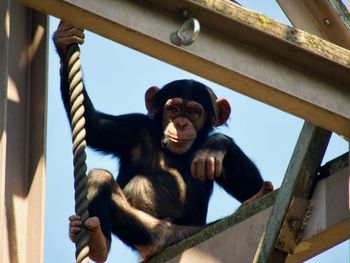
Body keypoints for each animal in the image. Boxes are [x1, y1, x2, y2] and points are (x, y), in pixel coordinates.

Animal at [54, 21, 274, 262]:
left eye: (194, 112)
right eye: (174, 109)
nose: (181, 123)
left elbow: (253, 185)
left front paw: (215, 144)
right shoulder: (134, 127)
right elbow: (94, 127)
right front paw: (64, 41)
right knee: (101, 178)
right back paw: (103, 242)